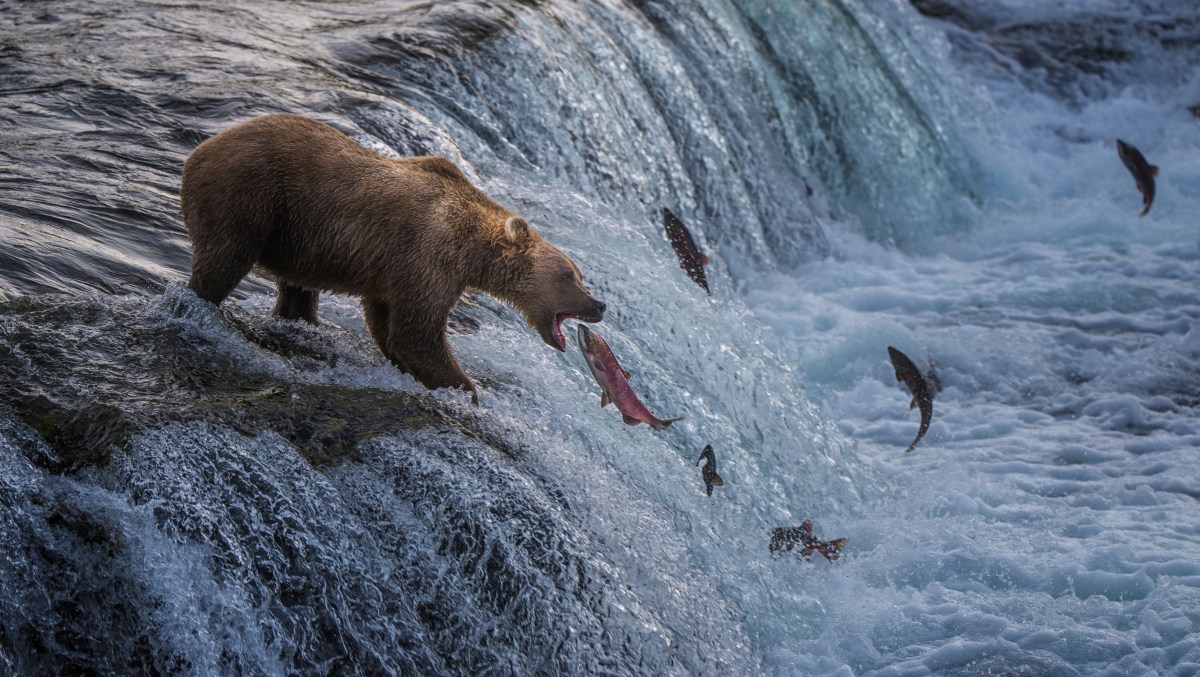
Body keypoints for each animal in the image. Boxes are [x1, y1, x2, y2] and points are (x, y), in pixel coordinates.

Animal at [180, 113, 606, 403]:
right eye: (571, 275)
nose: (599, 304)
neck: (473, 251)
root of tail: (199, 150)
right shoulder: (428, 257)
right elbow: (417, 333)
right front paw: (467, 390)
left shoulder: (396, 272)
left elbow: (389, 325)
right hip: (249, 194)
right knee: (223, 261)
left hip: (294, 236)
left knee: (295, 289)